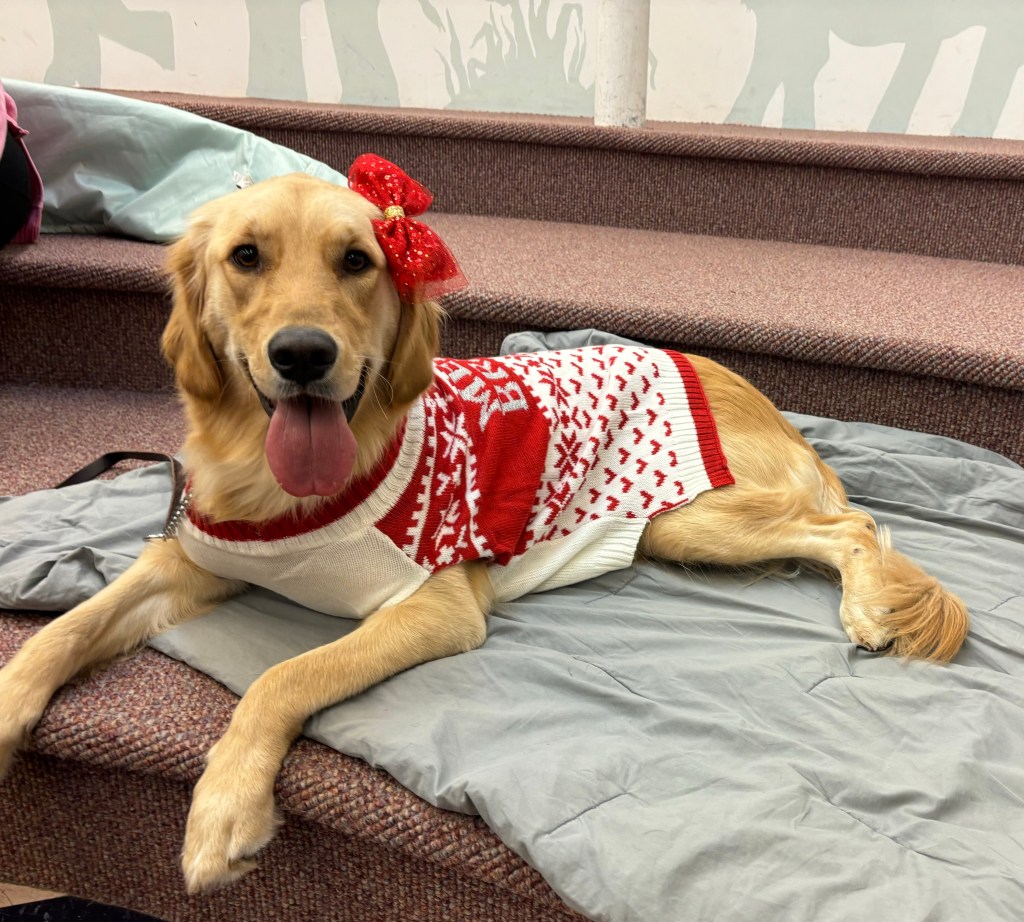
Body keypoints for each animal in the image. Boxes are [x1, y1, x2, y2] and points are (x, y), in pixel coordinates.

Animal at [0, 156, 969, 893]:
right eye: (245, 256)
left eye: (358, 261)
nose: (303, 355)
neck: (282, 489)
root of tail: (733, 378)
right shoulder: (190, 560)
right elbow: (63, 631)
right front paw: (10, 707)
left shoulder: (433, 603)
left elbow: (284, 674)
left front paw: (225, 808)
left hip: (688, 518)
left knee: (853, 525)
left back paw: (866, 607)